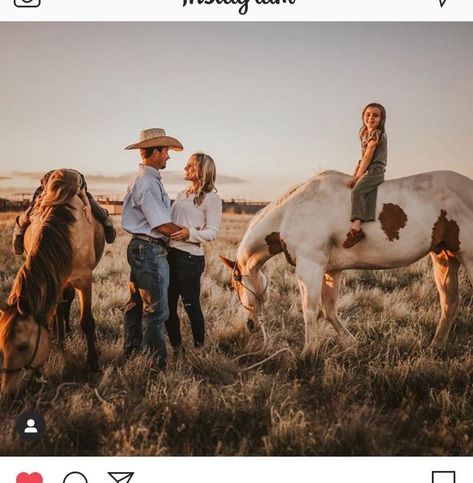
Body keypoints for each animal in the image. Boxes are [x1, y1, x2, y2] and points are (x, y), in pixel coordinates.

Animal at [0, 168, 104, 398]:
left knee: (66, 303)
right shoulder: (55, 278)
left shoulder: (84, 280)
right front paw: (58, 347)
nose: (8, 394)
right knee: (61, 307)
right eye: (2, 347)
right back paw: (60, 334)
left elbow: (87, 321)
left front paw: (93, 363)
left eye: (23, 346)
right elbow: (52, 316)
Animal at [223, 172, 472, 358]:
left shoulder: (310, 268)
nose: (250, 325)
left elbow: (310, 310)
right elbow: (329, 310)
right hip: (444, 258)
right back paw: (436, 347)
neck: (292, 211)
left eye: (234, 285)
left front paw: (307, 353)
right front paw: (351, 344)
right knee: (449, 303)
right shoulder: (332, 271)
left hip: (467, 257)